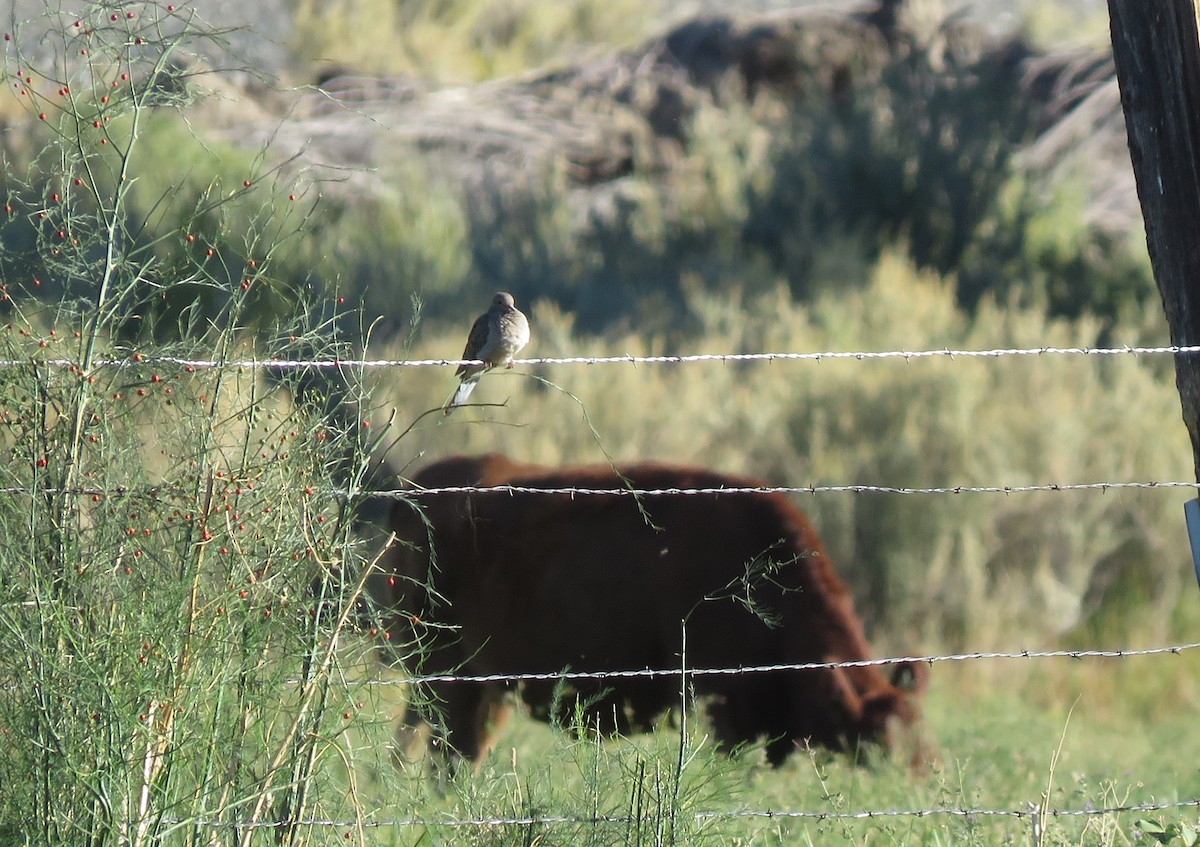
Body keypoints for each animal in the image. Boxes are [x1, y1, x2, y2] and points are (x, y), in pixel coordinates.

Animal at [372, 451, 926, 767]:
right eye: (880, 750)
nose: (922, 779)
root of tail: (410, 493)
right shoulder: (724, 708)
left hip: (477, 688)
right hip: (447, 676)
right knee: (442, 753)